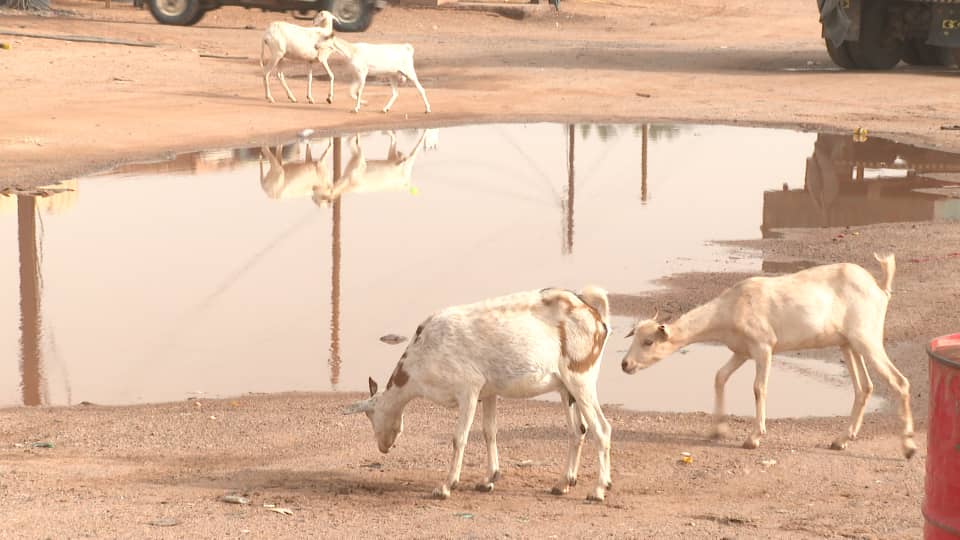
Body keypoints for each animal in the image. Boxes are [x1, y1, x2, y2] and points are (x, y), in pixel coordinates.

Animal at [344, 286, 616, 502]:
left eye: (370, 415)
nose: (383, 447)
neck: (421, 356)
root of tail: (595, 316)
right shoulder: (489, 392)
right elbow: (489, 432)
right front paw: (488, 480)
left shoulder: (468, 389)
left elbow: (459, 438)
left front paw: (446, 486)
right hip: (565, 388)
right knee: (577, 431)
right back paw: (562, 484)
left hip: (581, 379)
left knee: (601, 429)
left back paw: (598, 490)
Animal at [620, 255, 920, 458]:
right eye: (633, 337)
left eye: (648, 342)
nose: (625, 364)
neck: (732, 307)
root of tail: (879, 287)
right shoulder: (742, 351)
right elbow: (720, 377)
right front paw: (717, 430)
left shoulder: (764, 347)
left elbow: (758, 388)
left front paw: (753, 438)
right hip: (848, 344)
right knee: (864, 388)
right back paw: (841, 440)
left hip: (867, 338)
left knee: (899, 382)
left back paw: (908, 447)